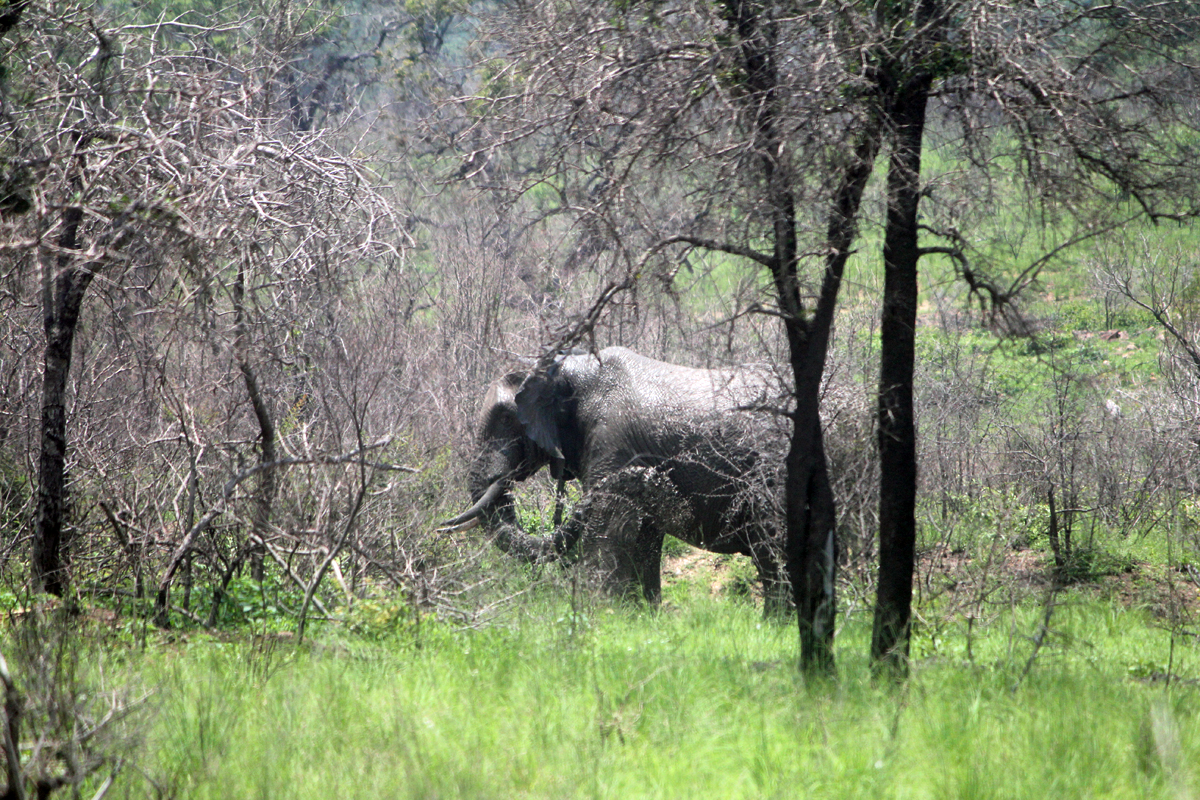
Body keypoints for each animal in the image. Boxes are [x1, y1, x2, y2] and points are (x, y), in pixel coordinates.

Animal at [446, 345, 792, 614]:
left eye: (507, 418)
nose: (651, 475)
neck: (570, 367)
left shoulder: (613, 441)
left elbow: (606, 526)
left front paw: (601, 613)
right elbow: (644, 538)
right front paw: (640, 616)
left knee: (771, 545)